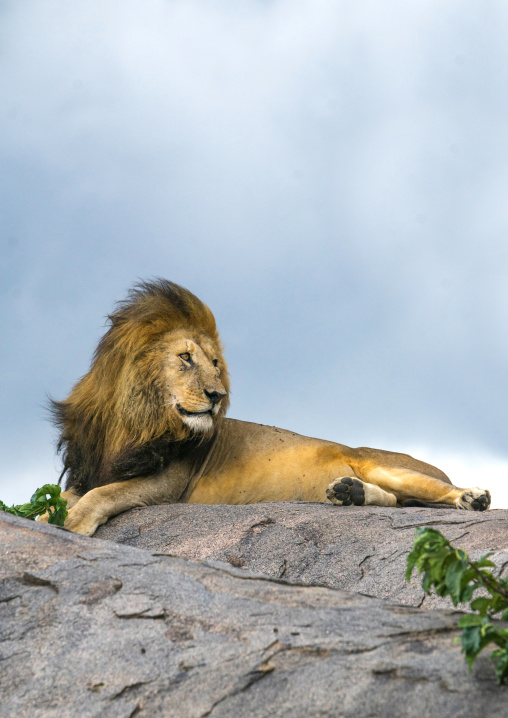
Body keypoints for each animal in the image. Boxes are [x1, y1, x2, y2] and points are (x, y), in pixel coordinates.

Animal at [41, 279, 491, 536]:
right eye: (185, 358)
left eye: (215, 363)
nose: (217, 395)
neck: (133, 421)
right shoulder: (91, 469)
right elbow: (64, 495)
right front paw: (45, 516)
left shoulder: (167, 484)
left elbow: (102, 495)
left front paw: (73, 524)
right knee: (396, 502)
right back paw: (349, 493)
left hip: (390, 466)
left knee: (434, 494)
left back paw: (473, 498)